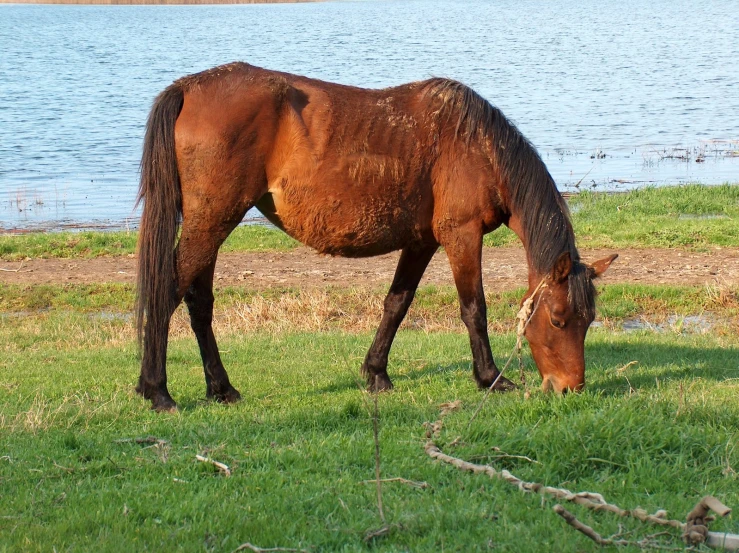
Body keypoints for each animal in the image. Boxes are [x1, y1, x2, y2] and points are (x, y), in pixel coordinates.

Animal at [134, 62, 620, 412]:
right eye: (557, 319)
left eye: (589, 319)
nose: (569, 389)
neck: (477, 145)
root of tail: (190, 87)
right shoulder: (460, 236)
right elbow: (473, 309)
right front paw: (490, 378)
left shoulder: (422, 241)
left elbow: (396, 304)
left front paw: (375, 373)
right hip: (213, 220)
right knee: (168, 292)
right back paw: (157, 390)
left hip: (212, 224)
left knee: (198, 301)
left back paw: (221, 388)